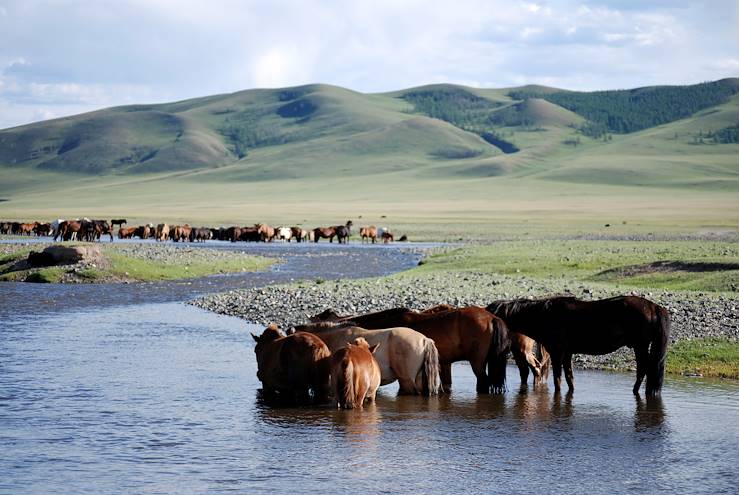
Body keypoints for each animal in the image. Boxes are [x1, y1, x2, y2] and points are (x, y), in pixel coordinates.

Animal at [488, 296, 672, 398]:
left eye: (490, 309)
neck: (543, 314)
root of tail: (654, 307)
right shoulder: (567, 353)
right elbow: (569, 378)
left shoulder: (557, 352)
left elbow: (557, 379)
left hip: (640, 345)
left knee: (644, 369)